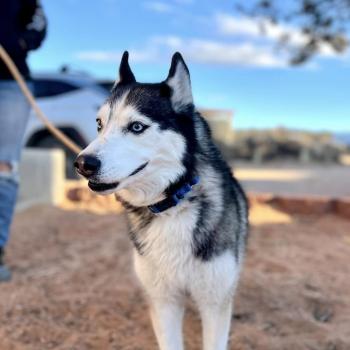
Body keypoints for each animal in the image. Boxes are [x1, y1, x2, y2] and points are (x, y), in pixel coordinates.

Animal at [74, 52, 249, 350]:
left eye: (136, 127)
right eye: (99, 124)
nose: (83, 164)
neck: (173, 206)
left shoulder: (214, 303)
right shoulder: (163, 301)